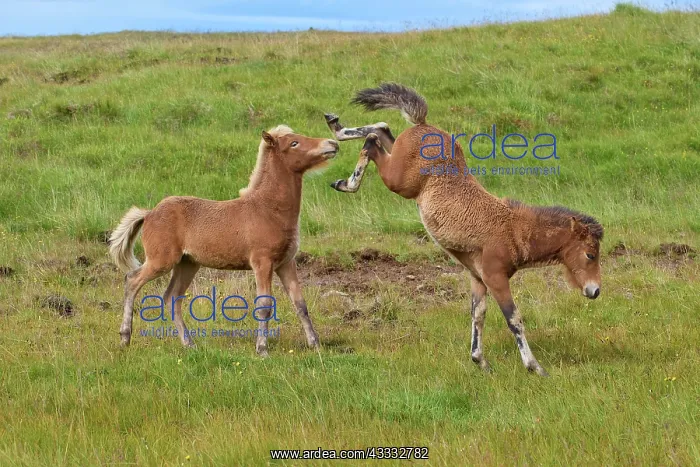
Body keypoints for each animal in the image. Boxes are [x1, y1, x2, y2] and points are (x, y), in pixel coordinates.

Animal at [108, 125, 339, 356]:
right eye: (294, 143)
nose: (332, 144)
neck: (267, 210)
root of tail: (149, 214)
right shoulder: (262, 262)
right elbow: (264, 305)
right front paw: (262, 349)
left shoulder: (286, 263)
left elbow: (300, 304)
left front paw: (315, 344)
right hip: (161, 260)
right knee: (132, 280)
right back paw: (125, 338)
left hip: (187, 264)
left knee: (172, 297)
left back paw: (189, 343)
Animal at [324, 83, 603, 376]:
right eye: (590, 255)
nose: (595, 291)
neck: (515, 229)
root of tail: (424, 125)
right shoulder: (495, 277)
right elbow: (514, 318)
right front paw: (535, 367)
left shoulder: (478, 278)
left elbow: (478, 314)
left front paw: (480, 360)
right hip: (399, 180)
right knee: (372, 143)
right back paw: (346, 181)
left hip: (399, 157)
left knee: (382, 128)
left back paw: (336, 126)